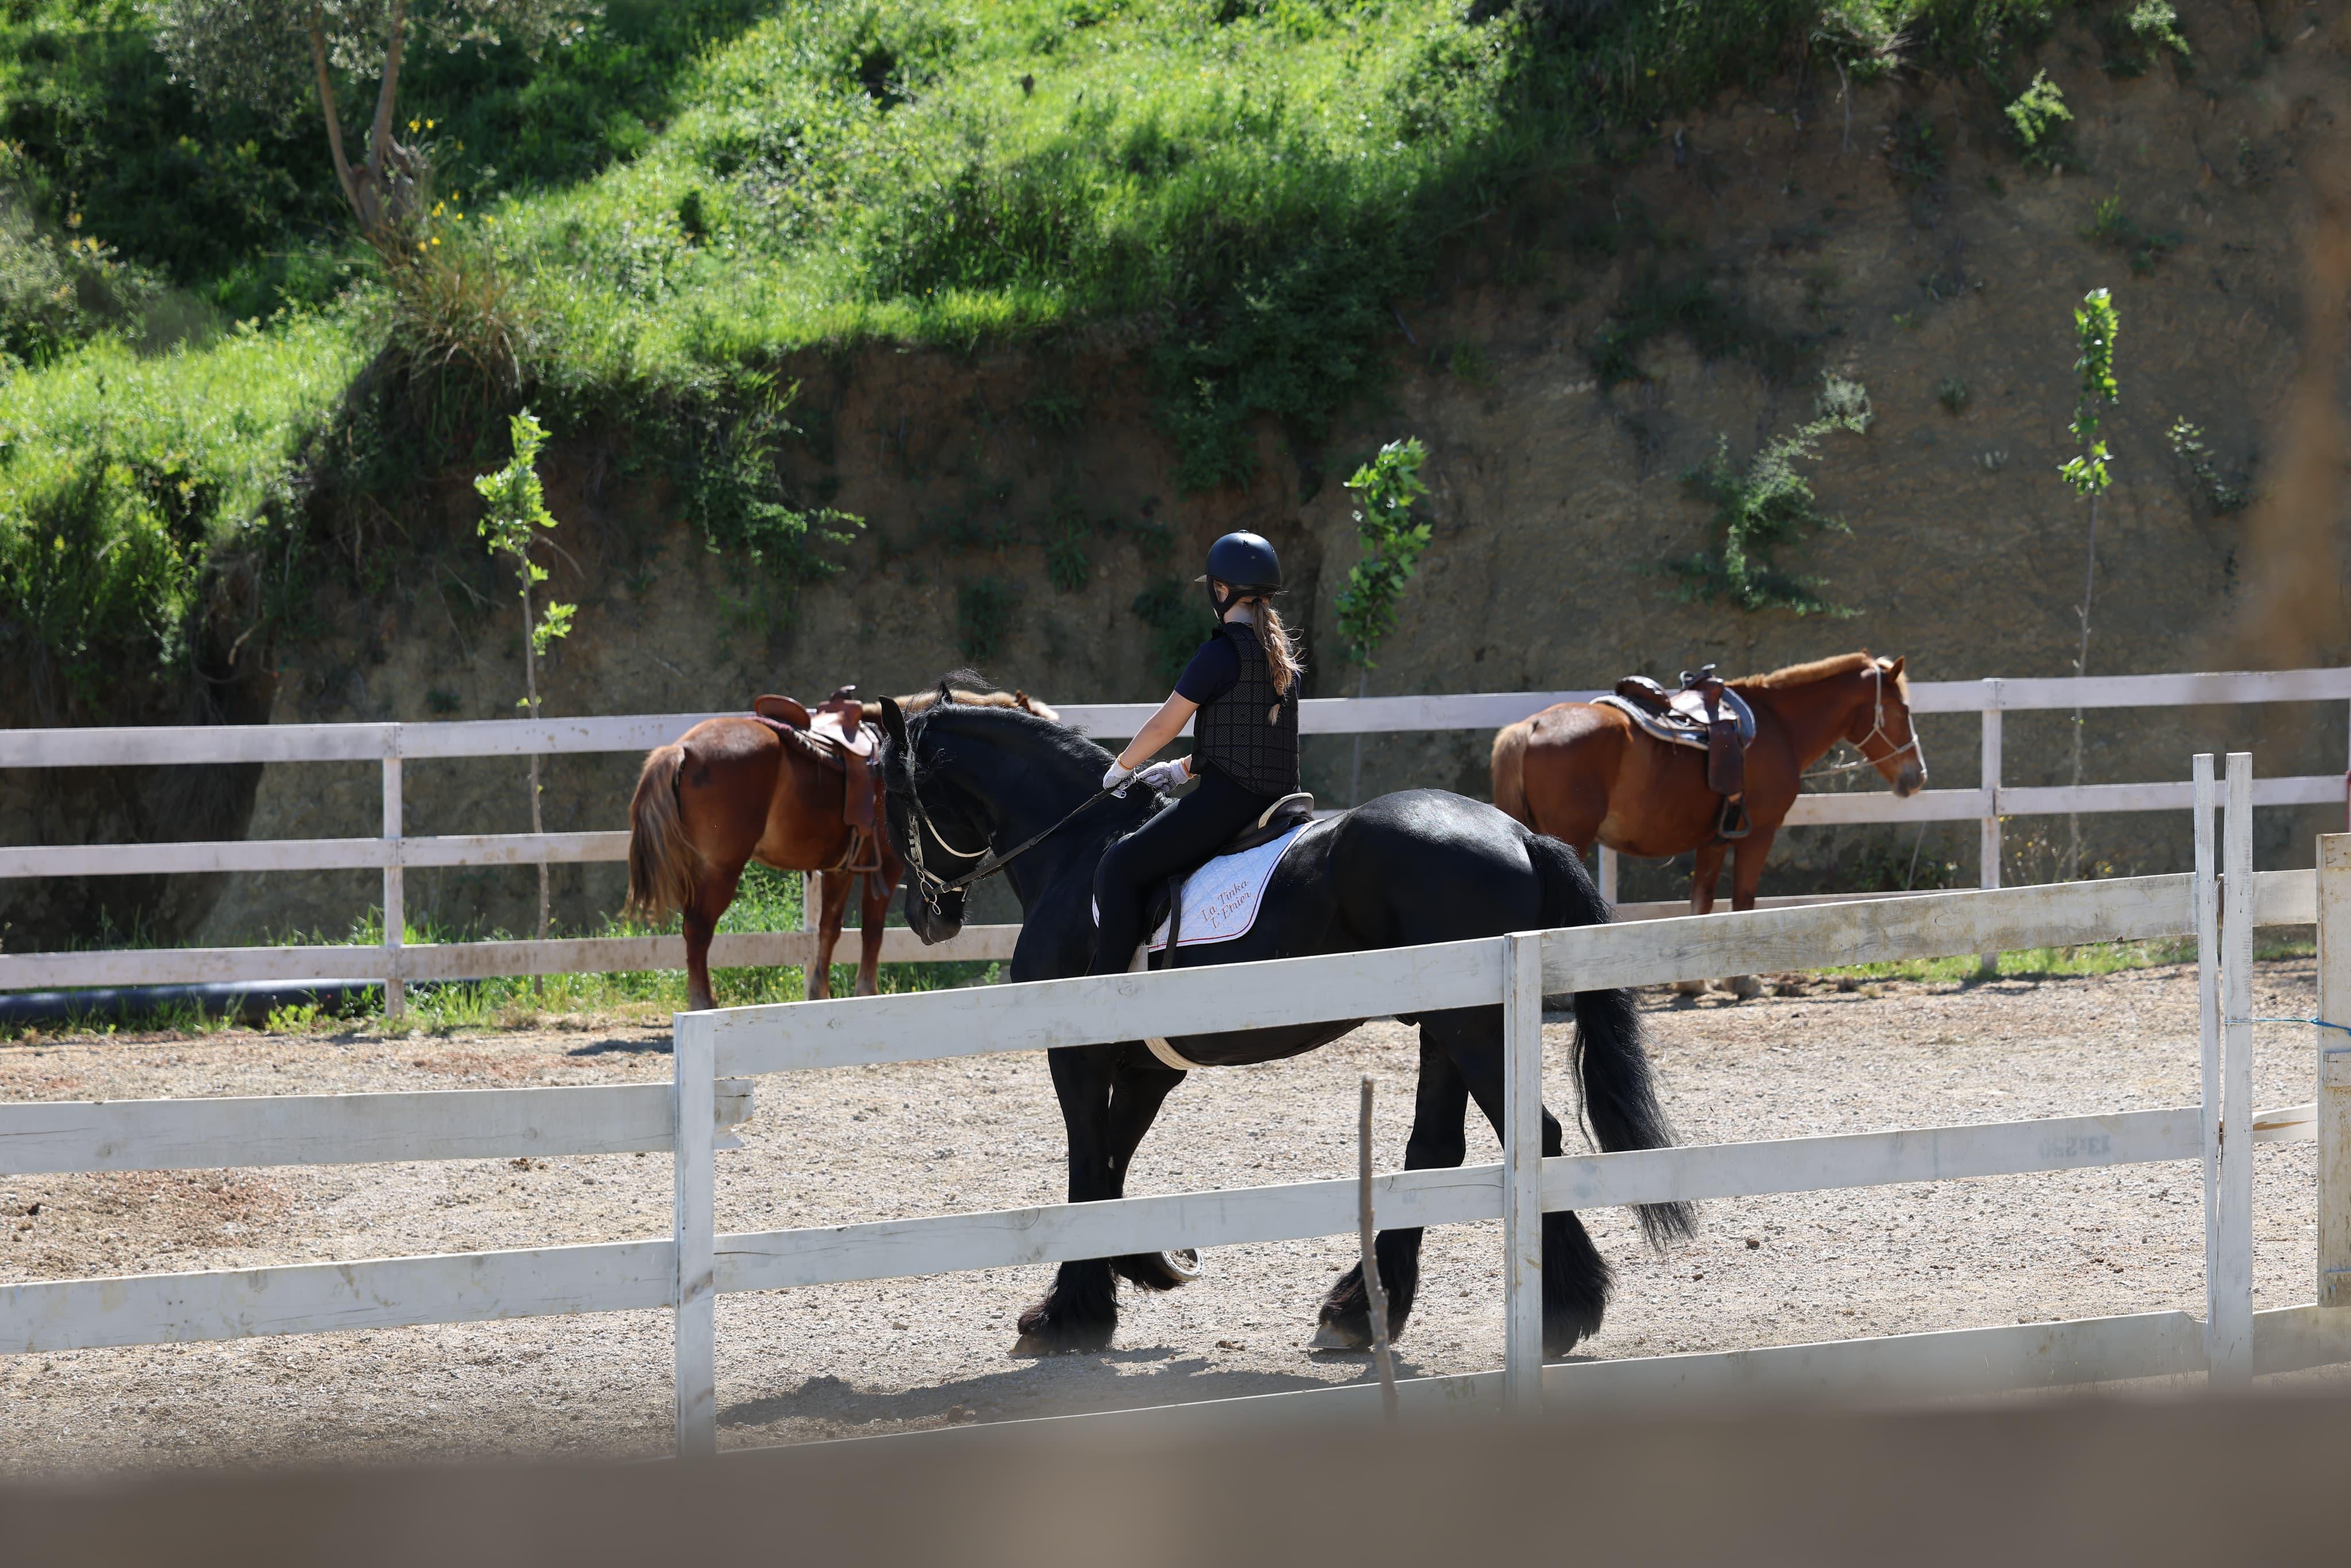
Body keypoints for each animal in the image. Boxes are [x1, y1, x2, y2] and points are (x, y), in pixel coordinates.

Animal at [625, 687, 1053, 1011]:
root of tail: (682, 749)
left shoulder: (840, 869)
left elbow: (829, 931)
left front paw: (820, 994)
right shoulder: (888, 870)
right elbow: (872, 932)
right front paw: (867, 991)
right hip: (721, 869)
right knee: (698, 930)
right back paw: (703, 1002)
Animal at [876, 680, 1691, 1360]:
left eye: (890, 795)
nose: (925, 916)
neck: (1080, 846)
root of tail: (1519, 834)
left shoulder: (1077, 1054)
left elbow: (1087, 1167)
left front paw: (1069, 1314)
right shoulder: (1147, 1070)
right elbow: (1110, 1163)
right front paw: (1149, 1265)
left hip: (1469, 1026)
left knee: (1532, 1136)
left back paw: (1560, 1312)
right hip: (1445, 1028)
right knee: (1435, 1147)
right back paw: (1360, 1312)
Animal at [1490, 652, 1925, 920]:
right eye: (1902, 709)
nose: (1917, 775)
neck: (1777, 725)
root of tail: (1530, 727)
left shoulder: (1715, 838)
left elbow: (1702, 901)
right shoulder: (1759, 833)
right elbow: (1743, 900)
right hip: (1571, 841)